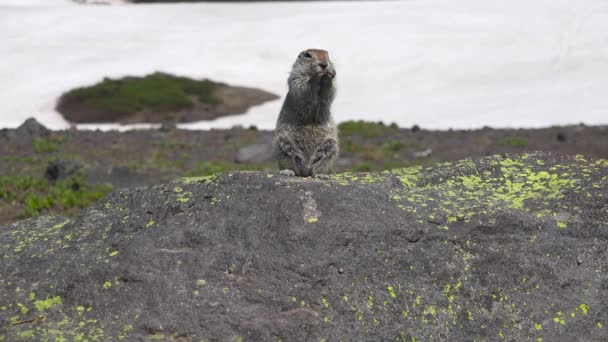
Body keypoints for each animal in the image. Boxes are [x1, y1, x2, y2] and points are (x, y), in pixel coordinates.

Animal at [274, 49, 340, 178]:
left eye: (327, 55)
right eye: (308, 55)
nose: (324, 64)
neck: (319, 82)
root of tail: (306, 170)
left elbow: (329, 92)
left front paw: (329, 75)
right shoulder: (295, 77)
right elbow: (301, 89)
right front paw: (315, 75)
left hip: (330, 146)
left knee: (318, 167)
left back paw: (321, 175)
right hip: (283, 145)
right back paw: (288, 171)